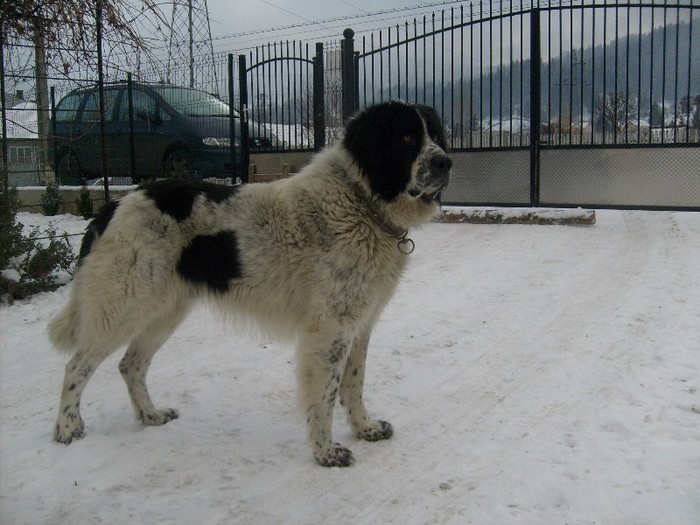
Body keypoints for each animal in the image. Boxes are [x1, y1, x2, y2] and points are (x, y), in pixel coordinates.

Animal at [50, 100, 454, 464]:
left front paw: (364, 428)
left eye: (435, 136)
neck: (360, 200)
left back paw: (150, 416)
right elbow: (325, 394)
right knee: (75, 367)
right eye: (405, 137)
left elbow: (354, 382)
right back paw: (66, 429)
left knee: (130, 365)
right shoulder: (330, 329)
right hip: (123, 307)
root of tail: (112, 207)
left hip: (164, 311)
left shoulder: (360, 322)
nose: (445, 162)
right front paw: (325, 452)